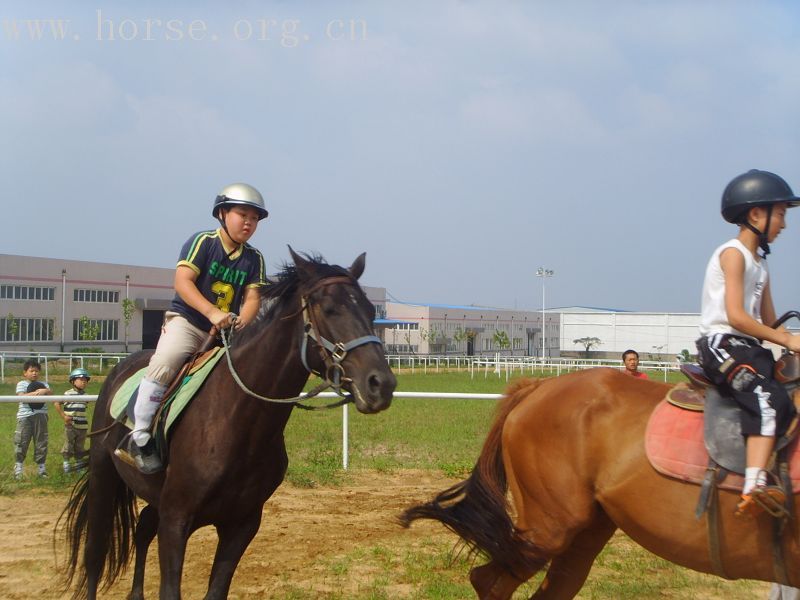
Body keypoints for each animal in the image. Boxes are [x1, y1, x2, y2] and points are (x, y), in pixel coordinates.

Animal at [59, 251, 396, 596]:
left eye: (370, 310)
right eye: (329, 309)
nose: (381, 384)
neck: (238, 423)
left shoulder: (241, 525)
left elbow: (217, 589)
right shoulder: (176, 521)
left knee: (142, 529)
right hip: (104, 475)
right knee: (95, 553)